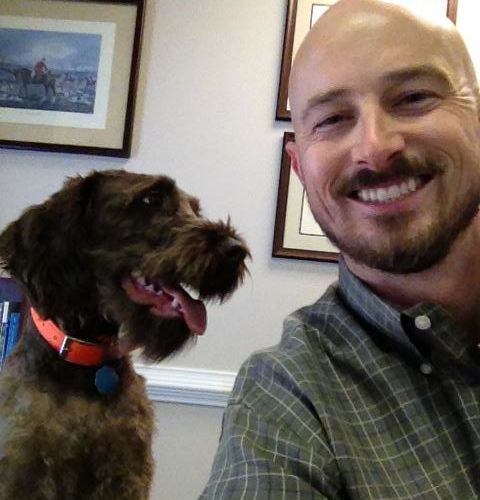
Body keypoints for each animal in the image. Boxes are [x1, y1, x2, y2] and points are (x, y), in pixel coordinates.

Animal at [0, 169, 248, 500]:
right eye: (152, 199)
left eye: (196, 210)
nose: (235, 250)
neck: (88, 365)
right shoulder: (24, 476)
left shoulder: (126, 476)